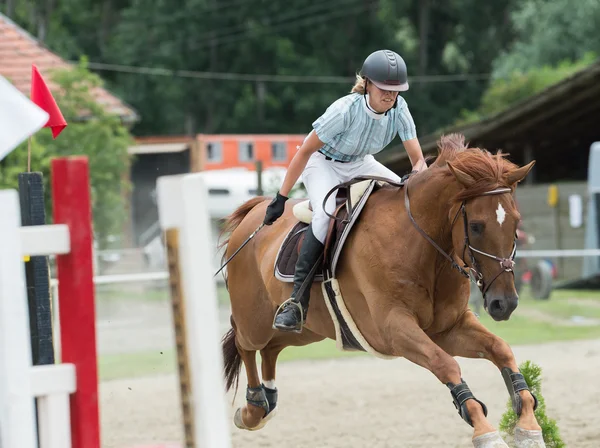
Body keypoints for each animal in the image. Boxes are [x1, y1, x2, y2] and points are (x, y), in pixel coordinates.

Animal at [218, 134, 540, 448]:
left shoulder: (447, 329)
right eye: (475, 226)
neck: (424, 246)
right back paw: (253, 409)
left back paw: (267, 401)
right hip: (256, 321)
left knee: (272, 348)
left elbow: (500, 349)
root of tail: (254, 214)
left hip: (308, 330)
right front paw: (486, 431)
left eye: (516, 223)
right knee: (246, 343)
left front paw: (528, 426)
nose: (504, 303)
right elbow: (446, 364)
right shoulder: (394, 329)